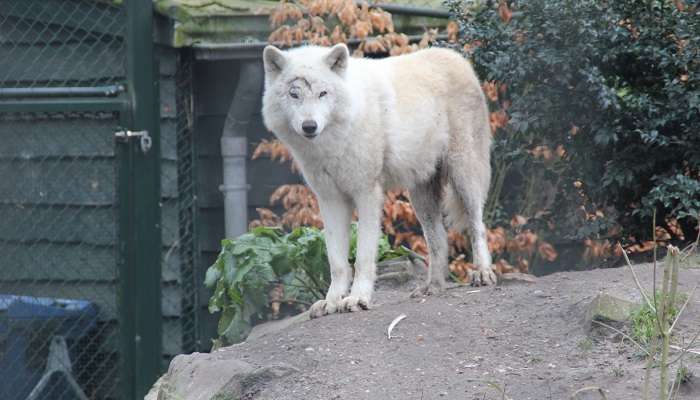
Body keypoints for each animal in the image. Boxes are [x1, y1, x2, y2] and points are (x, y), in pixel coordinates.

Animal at [262, 43, 498, 318]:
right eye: (294, 94)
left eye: (323, 93)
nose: (309, 126)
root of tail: (457, 58)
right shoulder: (330, 200)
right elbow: (337, 261)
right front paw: (331, 302)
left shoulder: (367, 194)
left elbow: (363, 256)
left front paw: (357, 298)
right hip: (420, 196)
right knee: (438, 238)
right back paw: (433, 287)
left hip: (464, 175)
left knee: (477, 225)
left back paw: (482, 272)